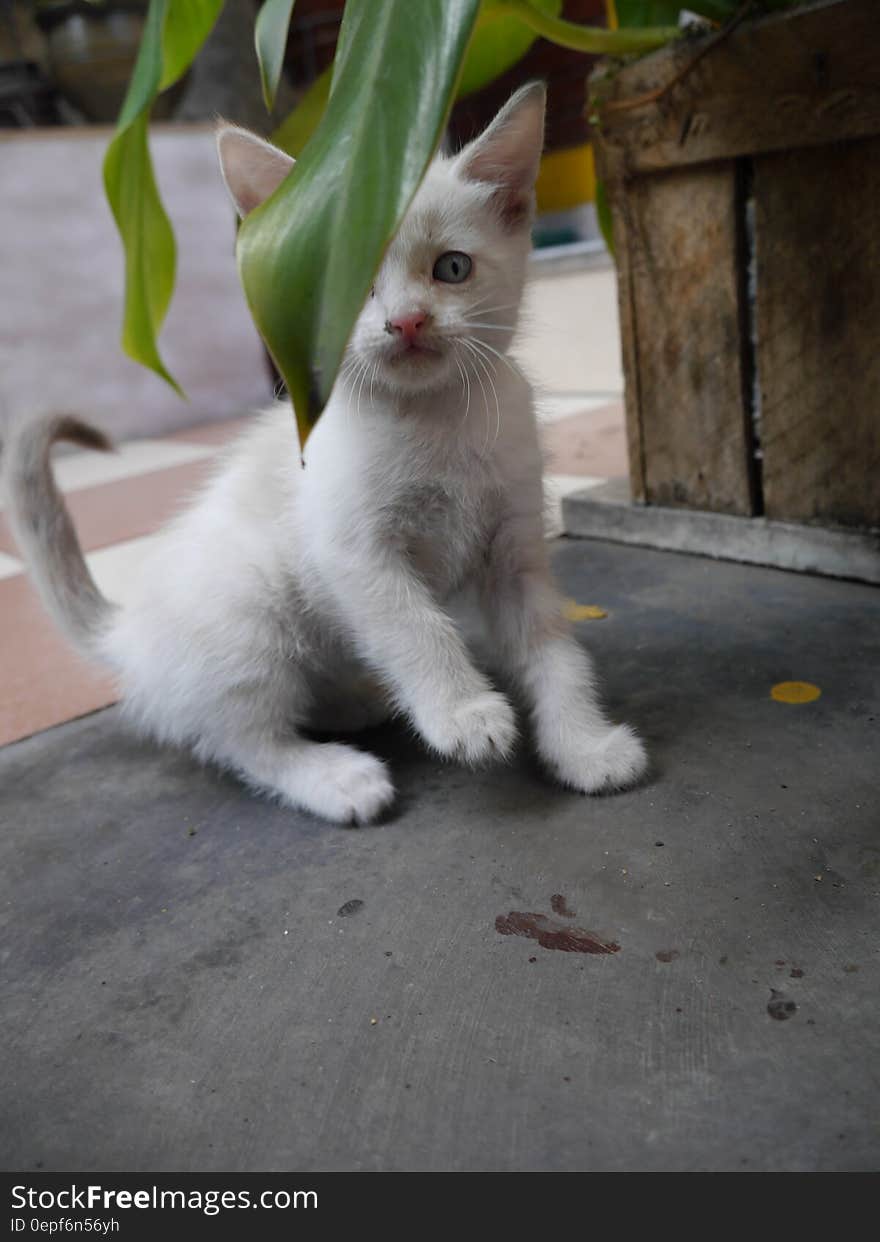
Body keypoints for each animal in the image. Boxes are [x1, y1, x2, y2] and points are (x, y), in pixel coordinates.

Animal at [3, 87, 650, 824]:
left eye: (452, 267)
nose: (408, 321)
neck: (435, 423)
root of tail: (129, 631)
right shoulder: (352, 551)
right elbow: (414, 626)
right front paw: (463, 714)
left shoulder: (515, 548)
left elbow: (553, 649)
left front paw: (584, 744)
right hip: (249, 609)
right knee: (241, 738)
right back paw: (334, 776)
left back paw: (361, 700)